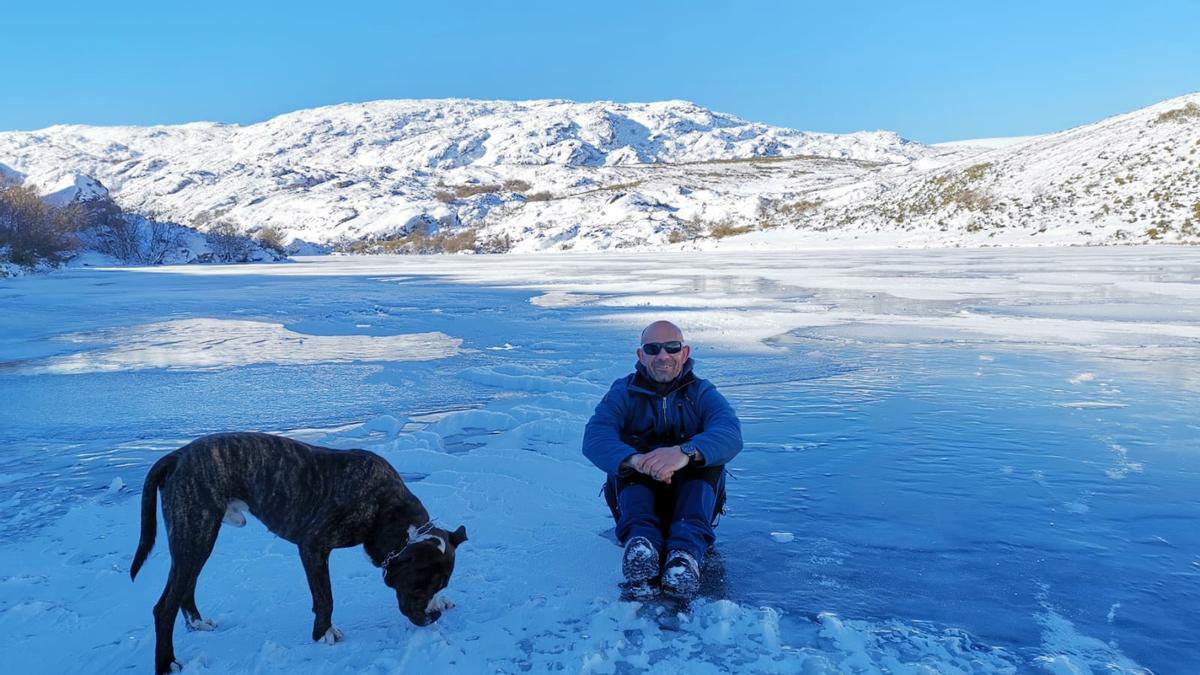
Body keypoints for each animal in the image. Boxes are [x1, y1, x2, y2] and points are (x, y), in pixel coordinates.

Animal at [131, 429, 465, 672]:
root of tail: (177, 455)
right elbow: (325, 597)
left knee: (186, 586)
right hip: (196, 534)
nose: (433, 616)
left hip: (196, 540)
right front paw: (324, 633)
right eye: (418, 588)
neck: (386, 508)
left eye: (439, 586)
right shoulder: (313, 547)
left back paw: (197, 623)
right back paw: (167, 663)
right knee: (164, 606)